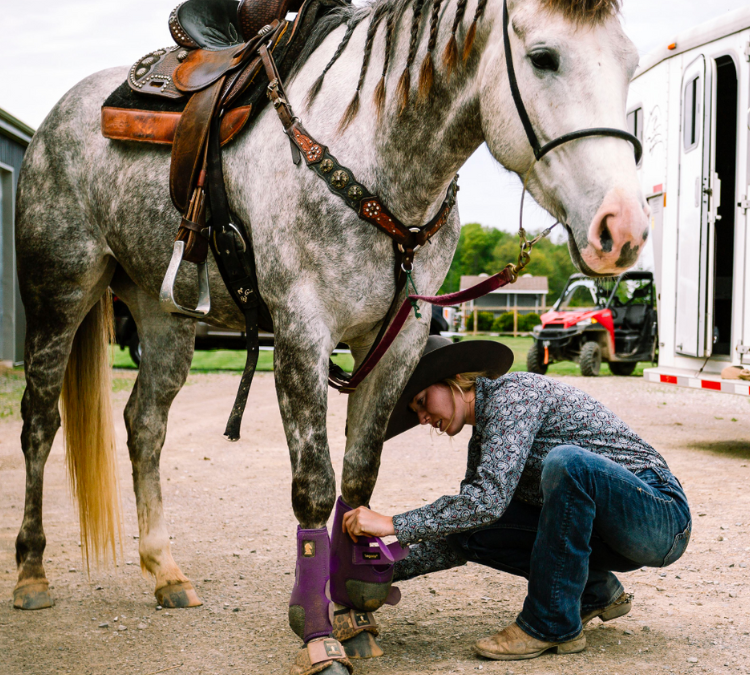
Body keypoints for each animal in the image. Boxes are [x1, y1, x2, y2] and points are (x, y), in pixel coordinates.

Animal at [10, 0, 648, 664]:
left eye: (630, 63)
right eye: (544, 57)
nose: (621, 227)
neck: (370, 153)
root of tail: (60, 115)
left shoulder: (395, 342)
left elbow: (360, 477)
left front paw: (353, 606)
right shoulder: (302, 336)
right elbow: (315, 488)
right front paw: (316, 629)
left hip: (165, 317)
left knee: (144, 426)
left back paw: (166, 573)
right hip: (59, 296)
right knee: (40, 422)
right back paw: (32, 574)